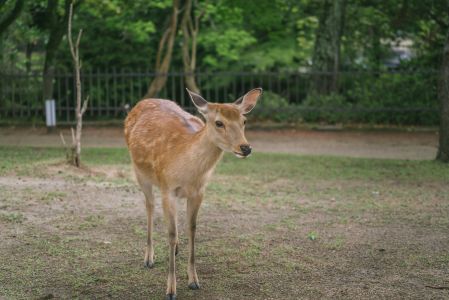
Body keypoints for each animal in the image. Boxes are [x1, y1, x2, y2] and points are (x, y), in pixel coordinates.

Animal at [123, 88, 262, 298]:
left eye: (244, 121)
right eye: (219, 122)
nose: (245, 148)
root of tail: (143, 102)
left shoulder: (199, 191)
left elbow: (192, 229)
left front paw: (194, 280)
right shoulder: (167, 188)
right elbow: (171, 233)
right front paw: (171, 290)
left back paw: (176, 249)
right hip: (139, 172)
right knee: (149, 206)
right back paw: (148, 258)